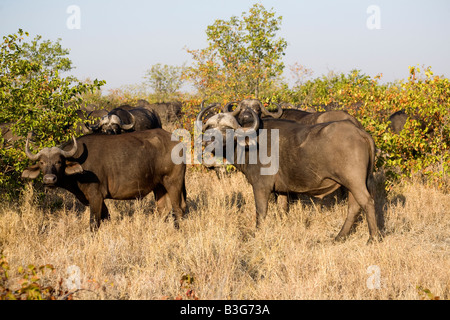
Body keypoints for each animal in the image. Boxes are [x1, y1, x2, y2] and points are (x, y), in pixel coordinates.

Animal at [20, 130, 186, 230]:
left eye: (59, 162)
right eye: (42, 162)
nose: (49, 179)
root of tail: (177, 142)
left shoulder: (96, 196)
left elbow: (94, 223)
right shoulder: (97, 199)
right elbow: (106, 218)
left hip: (173, 182)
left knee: (178, 209)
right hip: (159, 187)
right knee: (163, 209)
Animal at [197, 105, 380, 242]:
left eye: (226, 129)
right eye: (209, 127)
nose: (209, 141)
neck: (250, 143)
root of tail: (360, 132)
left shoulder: (261, 187)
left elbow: (261, 212)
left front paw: (257, 234)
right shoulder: (282, 190)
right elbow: (282, 210)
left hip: (354, 182)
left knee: (367, 202)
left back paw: (373, 238)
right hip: (351, 184)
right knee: (354, 207)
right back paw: (339, 237)